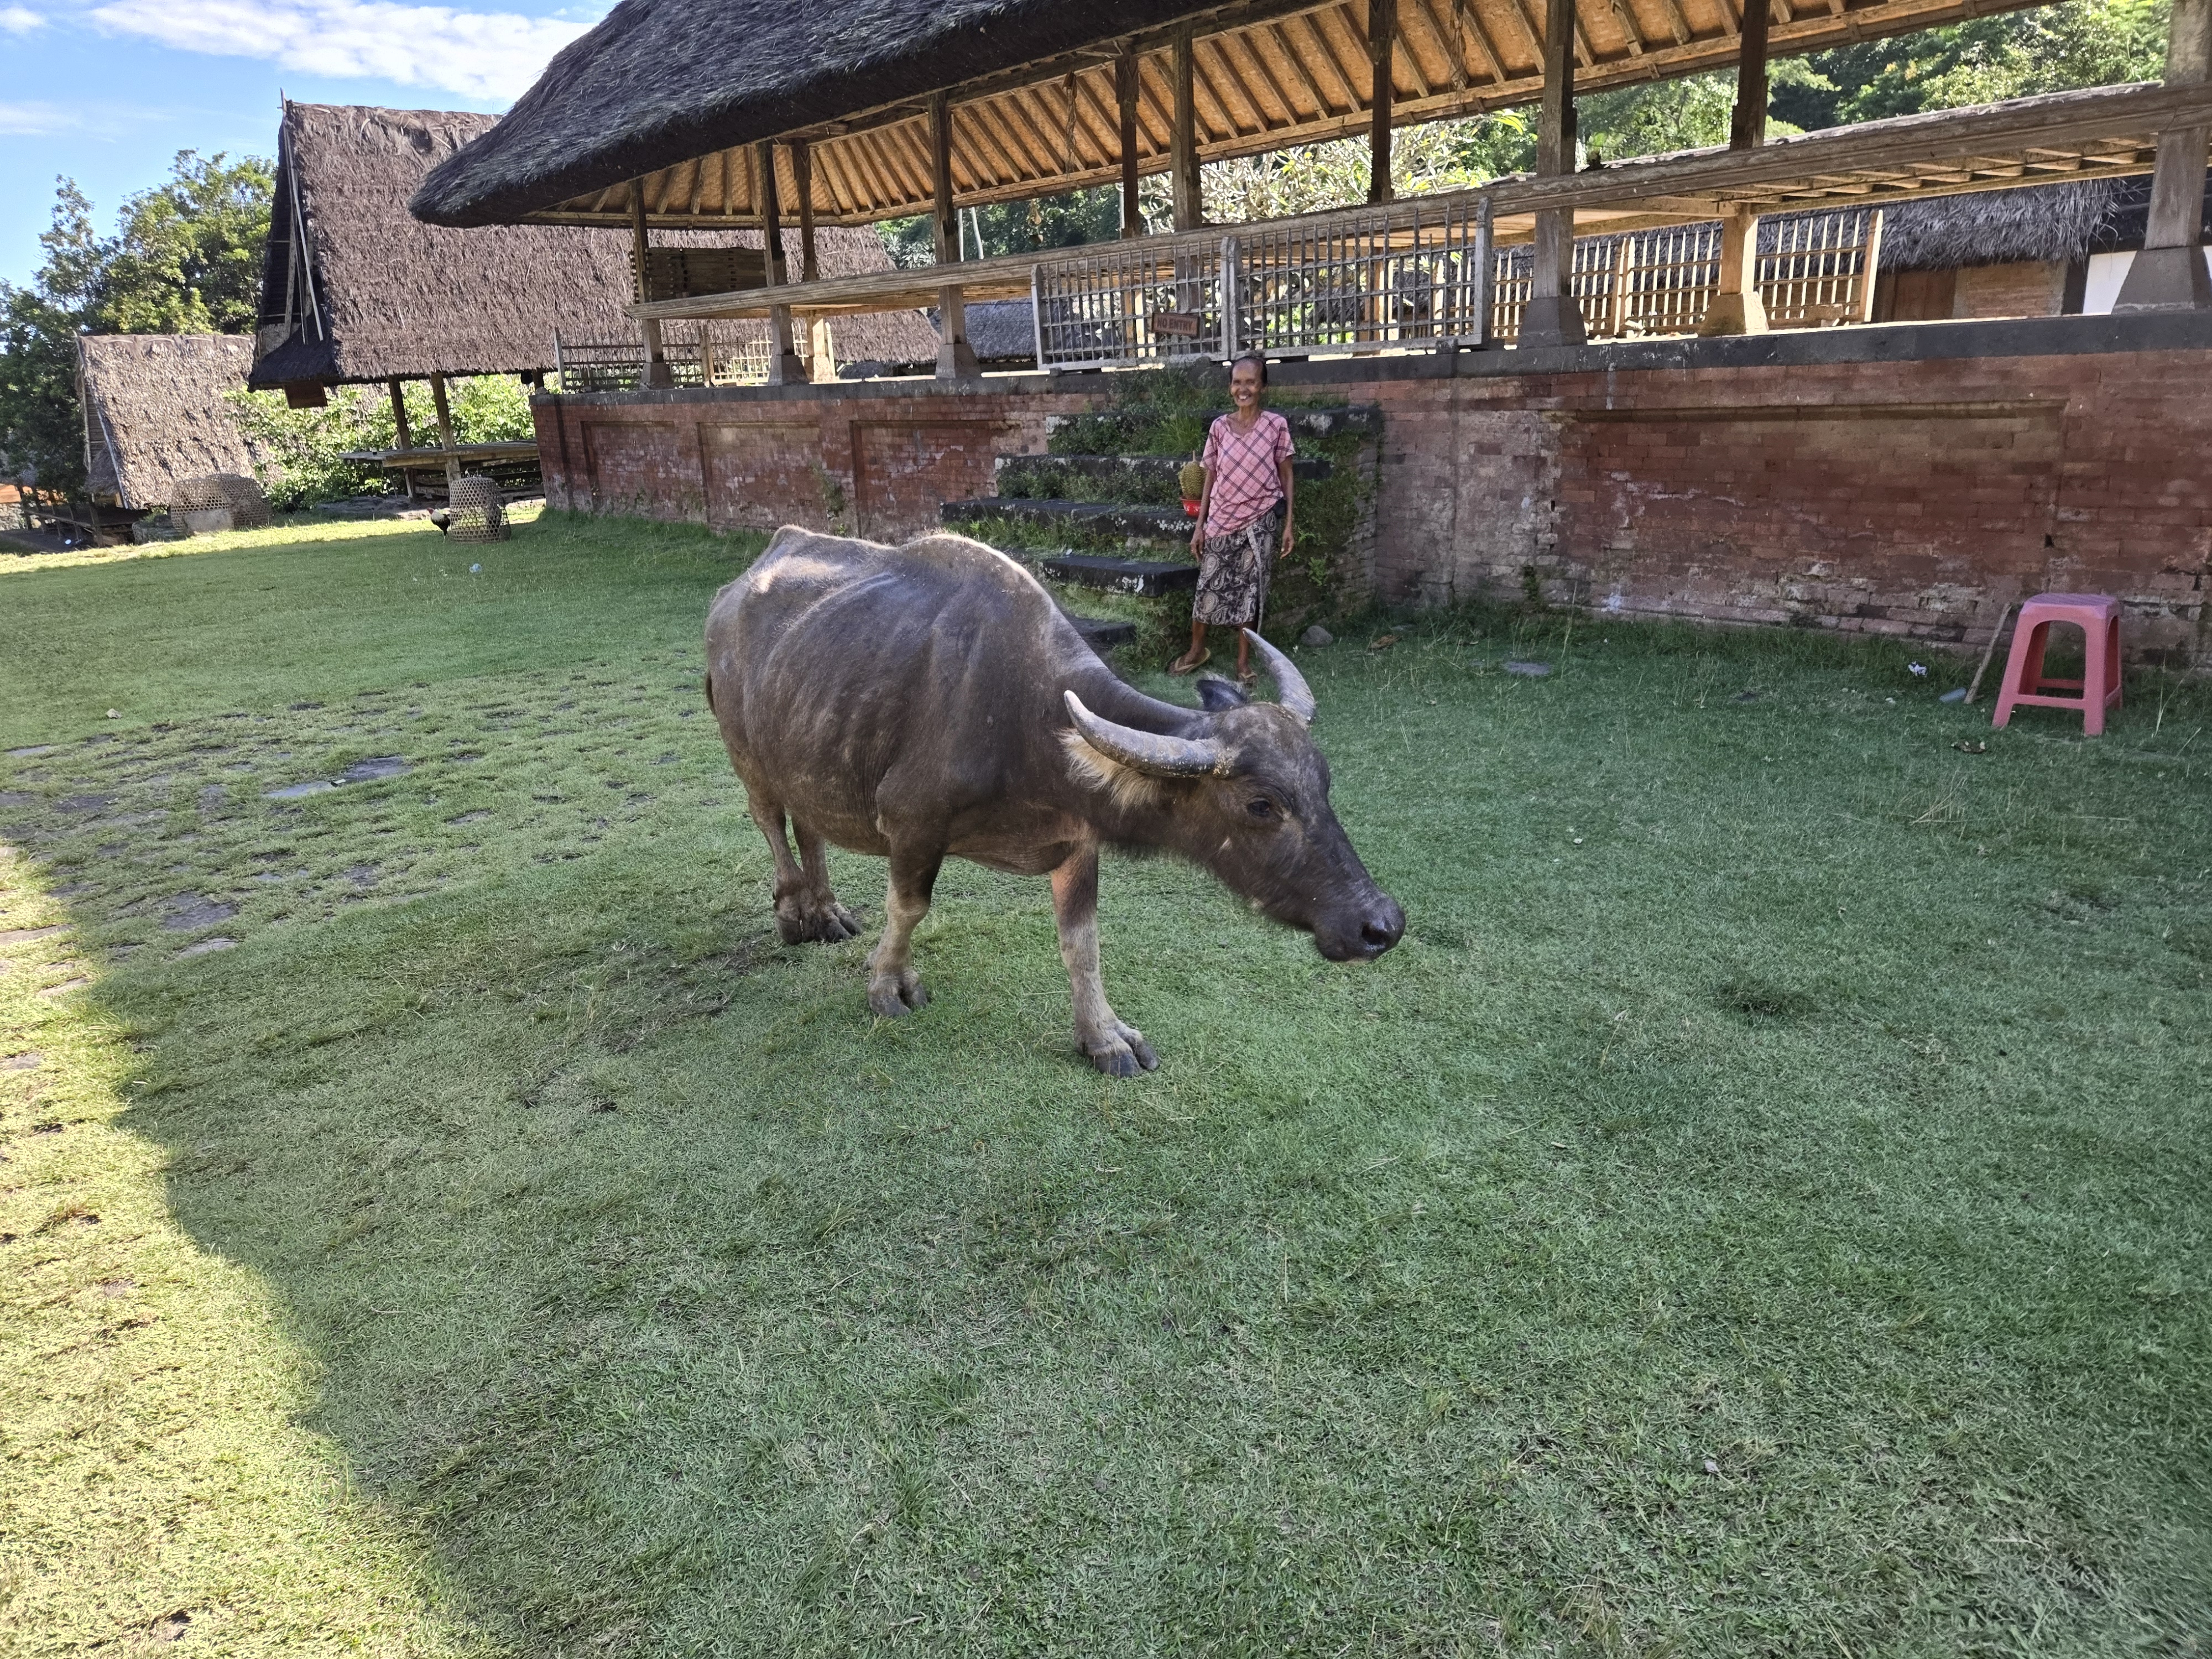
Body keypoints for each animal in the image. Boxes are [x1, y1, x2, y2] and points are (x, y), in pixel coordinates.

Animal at [704, 526, 1403, 1075]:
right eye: (1261, 804)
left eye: (1323, 781)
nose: (1381, 925)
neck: (1026, 722)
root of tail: (736, 589)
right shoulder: (912, 825)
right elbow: (908, 910)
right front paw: (887, 985)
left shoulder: (1075, 843)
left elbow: (1082, 943)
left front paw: (1104, 1038)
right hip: (745, 753)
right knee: (770, 819)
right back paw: (796, 913)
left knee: (809, 822)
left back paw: (827, 910)